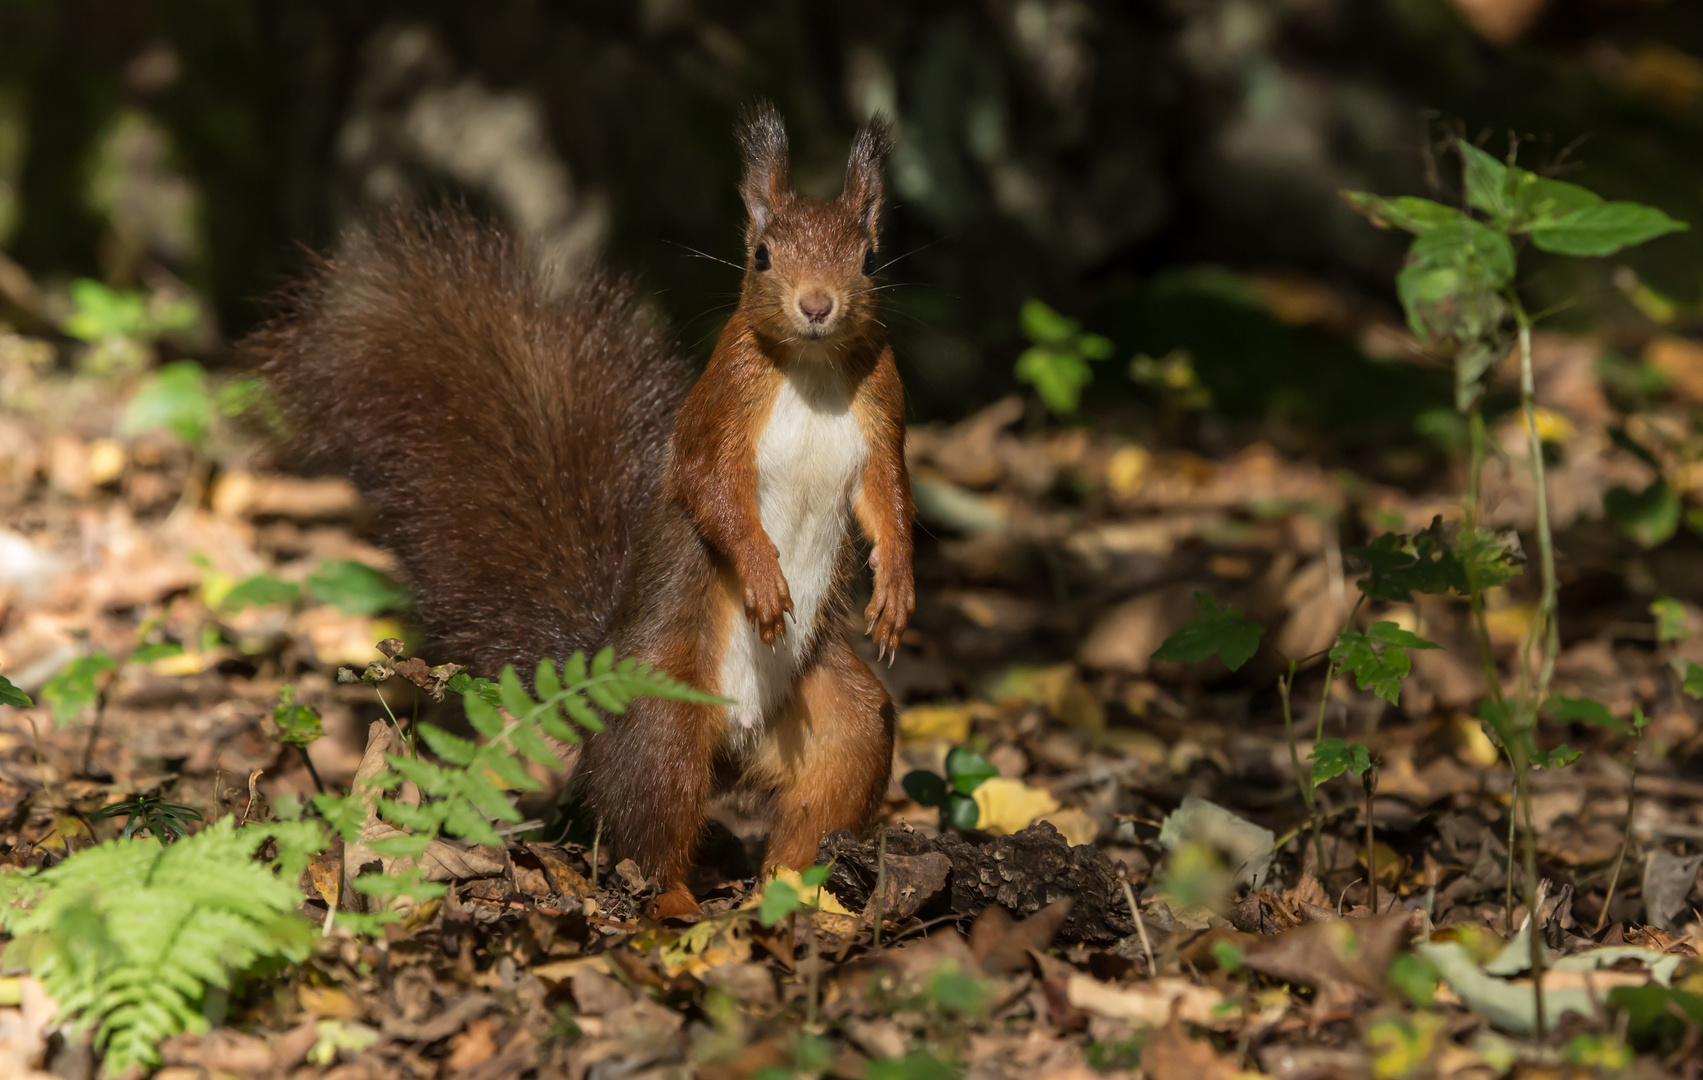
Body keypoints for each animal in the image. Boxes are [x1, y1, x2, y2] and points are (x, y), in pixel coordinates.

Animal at [248, 100, 912, 913]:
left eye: (868, 258)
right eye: (761, 255)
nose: (816, 305)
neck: (812, 368)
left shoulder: (883, 412)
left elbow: (888, 500)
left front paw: (895, 591)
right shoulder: (718, 410)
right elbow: (711, 492)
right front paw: (761, 577)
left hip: (829, 712)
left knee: (837, 768)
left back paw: (792, 893)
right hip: (663, 712)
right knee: (650, 825)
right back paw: (680, 904)